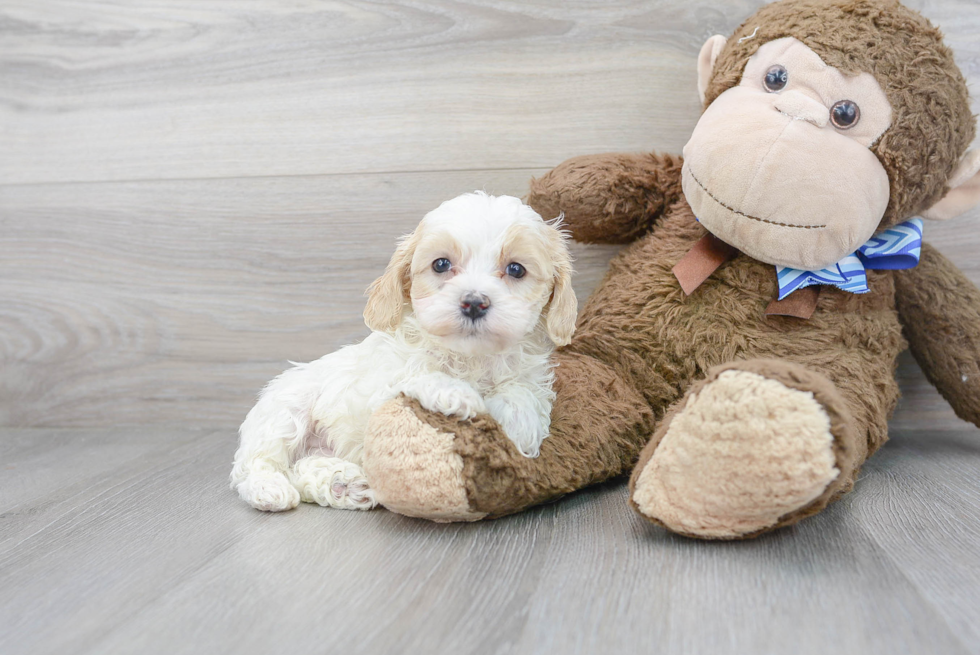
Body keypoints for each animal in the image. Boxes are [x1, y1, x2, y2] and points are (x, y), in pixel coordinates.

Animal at [231, 192, 580, 516]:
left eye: (516, 269)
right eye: (441, 264)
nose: (473, 302)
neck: (468, 358)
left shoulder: (529, 377)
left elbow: (522, 397)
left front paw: (512, 424)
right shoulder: (378, 386)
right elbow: (416, 375)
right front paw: (457, 394)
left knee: (301, 470)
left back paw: (344, 483)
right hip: (284, 409)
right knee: (255, 464)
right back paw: (269, 488)